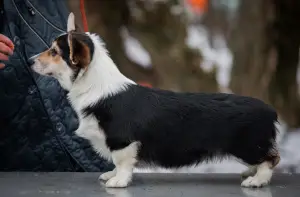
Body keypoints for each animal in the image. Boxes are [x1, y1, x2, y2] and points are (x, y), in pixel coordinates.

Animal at [30, 13, 278, 189]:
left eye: (54, 52)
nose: (30, 61)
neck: (95, 85)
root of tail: (269, 110)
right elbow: (115, 163)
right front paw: (111, 175)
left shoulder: (122, 141)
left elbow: (121, 163)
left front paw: (118, 181)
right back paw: (251, 172)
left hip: (247, 145)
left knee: (271, 160)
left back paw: (256, 180)